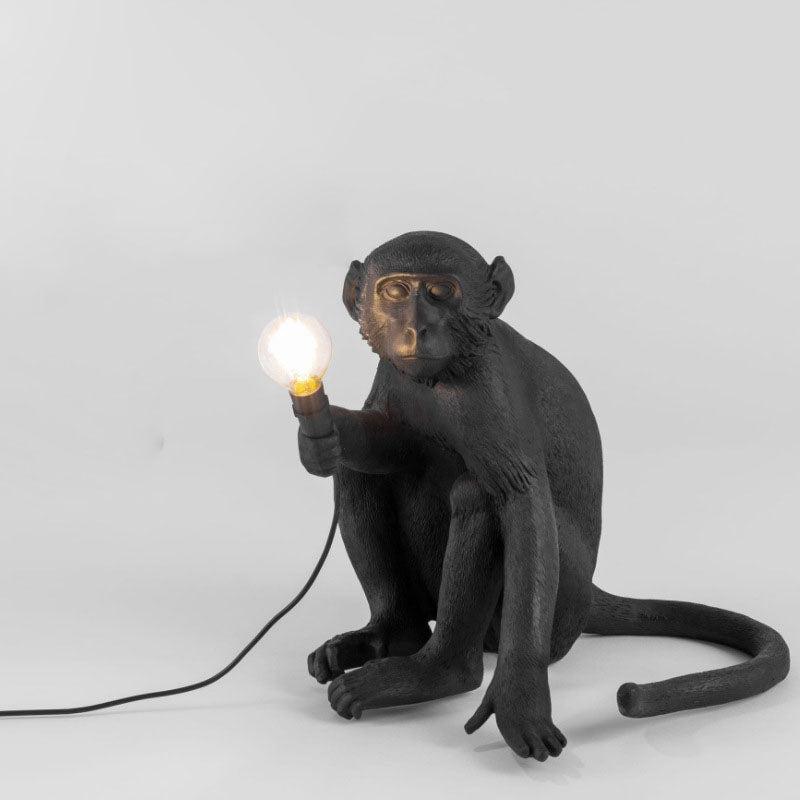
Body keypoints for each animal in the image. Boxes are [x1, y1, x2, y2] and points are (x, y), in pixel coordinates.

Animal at [297, 231, 789, 760]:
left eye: (440, 292)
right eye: (394, 291)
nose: (415, 329)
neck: (447, 370)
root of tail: (590, 593)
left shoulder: (490, 391)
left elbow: (521, 501)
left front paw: (520, 697)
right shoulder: (394, 374)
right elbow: (388, 443)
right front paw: (326, 433)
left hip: (561, 608)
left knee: (478, 496)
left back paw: (441, 671)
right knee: (360, 475)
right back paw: (393, 634)